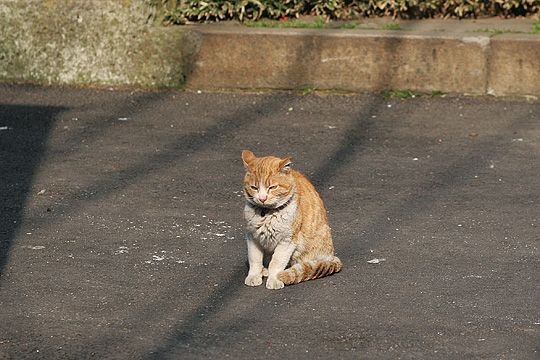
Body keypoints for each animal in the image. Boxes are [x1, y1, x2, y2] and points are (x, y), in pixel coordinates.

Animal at [242, 150, 342, 290]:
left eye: (272, 187)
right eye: (254, 187)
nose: (262, 198)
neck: (266, 213)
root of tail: (331, 256)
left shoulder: (287, 241)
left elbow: (276, 262)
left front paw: (274, 279)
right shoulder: (252, 237)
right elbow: (254, 260)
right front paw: (254, 276)